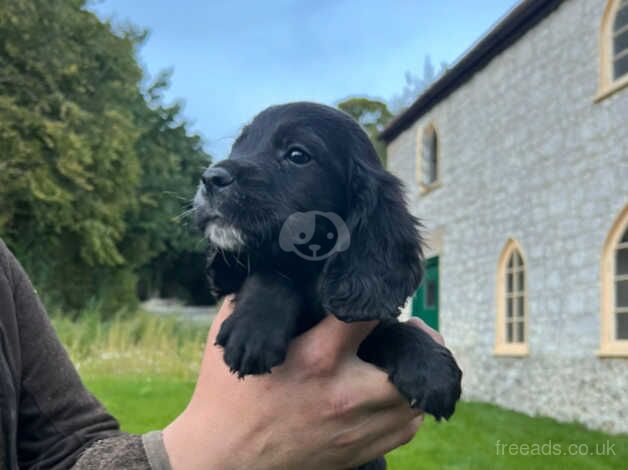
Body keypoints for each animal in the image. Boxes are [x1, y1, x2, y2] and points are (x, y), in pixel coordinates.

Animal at [194, 101, 464, 468]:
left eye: (297, 155)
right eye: (238, 147)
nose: (210, 178)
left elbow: (392, 327)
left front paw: (432, 368)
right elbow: (271, 271)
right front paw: (253, 328)